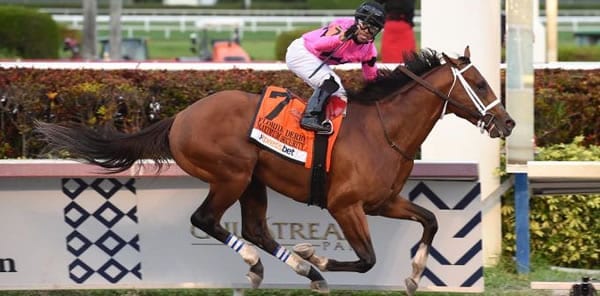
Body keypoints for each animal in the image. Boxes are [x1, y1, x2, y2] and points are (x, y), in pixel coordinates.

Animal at [36, 47, 516, 294]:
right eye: (479, 83)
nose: (508, 122)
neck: (384, 130)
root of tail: (181, 117)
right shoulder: (345, 204)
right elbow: (366, 260)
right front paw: (317, 256)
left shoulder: (382, 201)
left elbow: (431, 220)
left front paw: (415, 274)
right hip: (230, 175)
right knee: (206, 220)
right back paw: (284, 265)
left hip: (253, 181)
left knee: (255, 230)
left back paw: (292, 268)